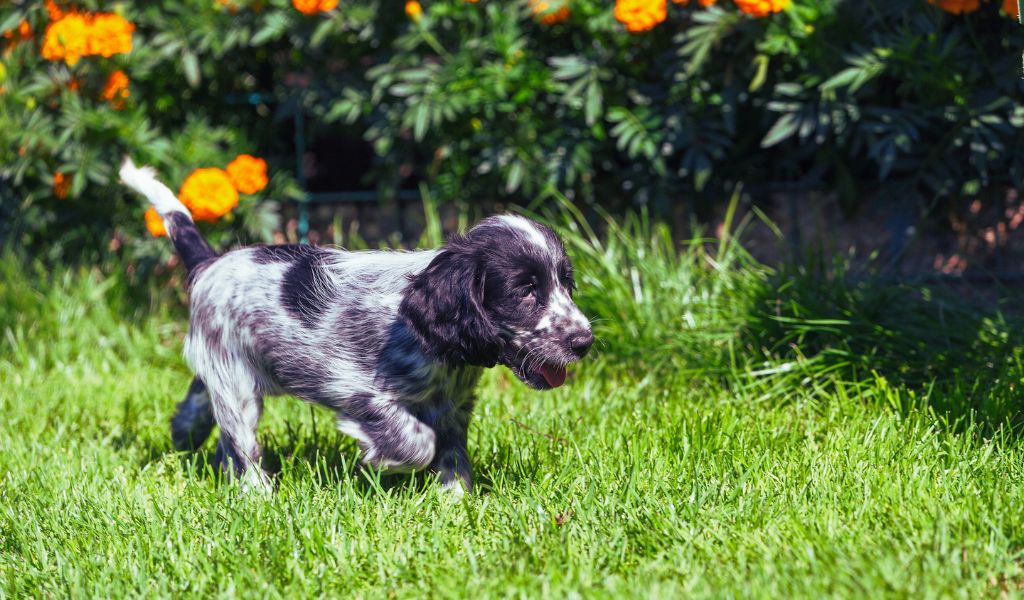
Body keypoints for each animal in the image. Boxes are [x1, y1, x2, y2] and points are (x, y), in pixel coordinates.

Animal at [118, 156, 593, 493]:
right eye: (525, 291)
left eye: (566, 284)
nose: (584, 341)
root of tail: (210, 263)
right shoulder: (354, 387)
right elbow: (419, 442)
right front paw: (383, 459)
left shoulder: (454, 406)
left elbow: (453, 455)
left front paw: (456, 502)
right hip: (236, 384)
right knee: (243, 444)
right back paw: (258, 494)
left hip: (224, 368)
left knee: (206, 407)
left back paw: (187, 434)